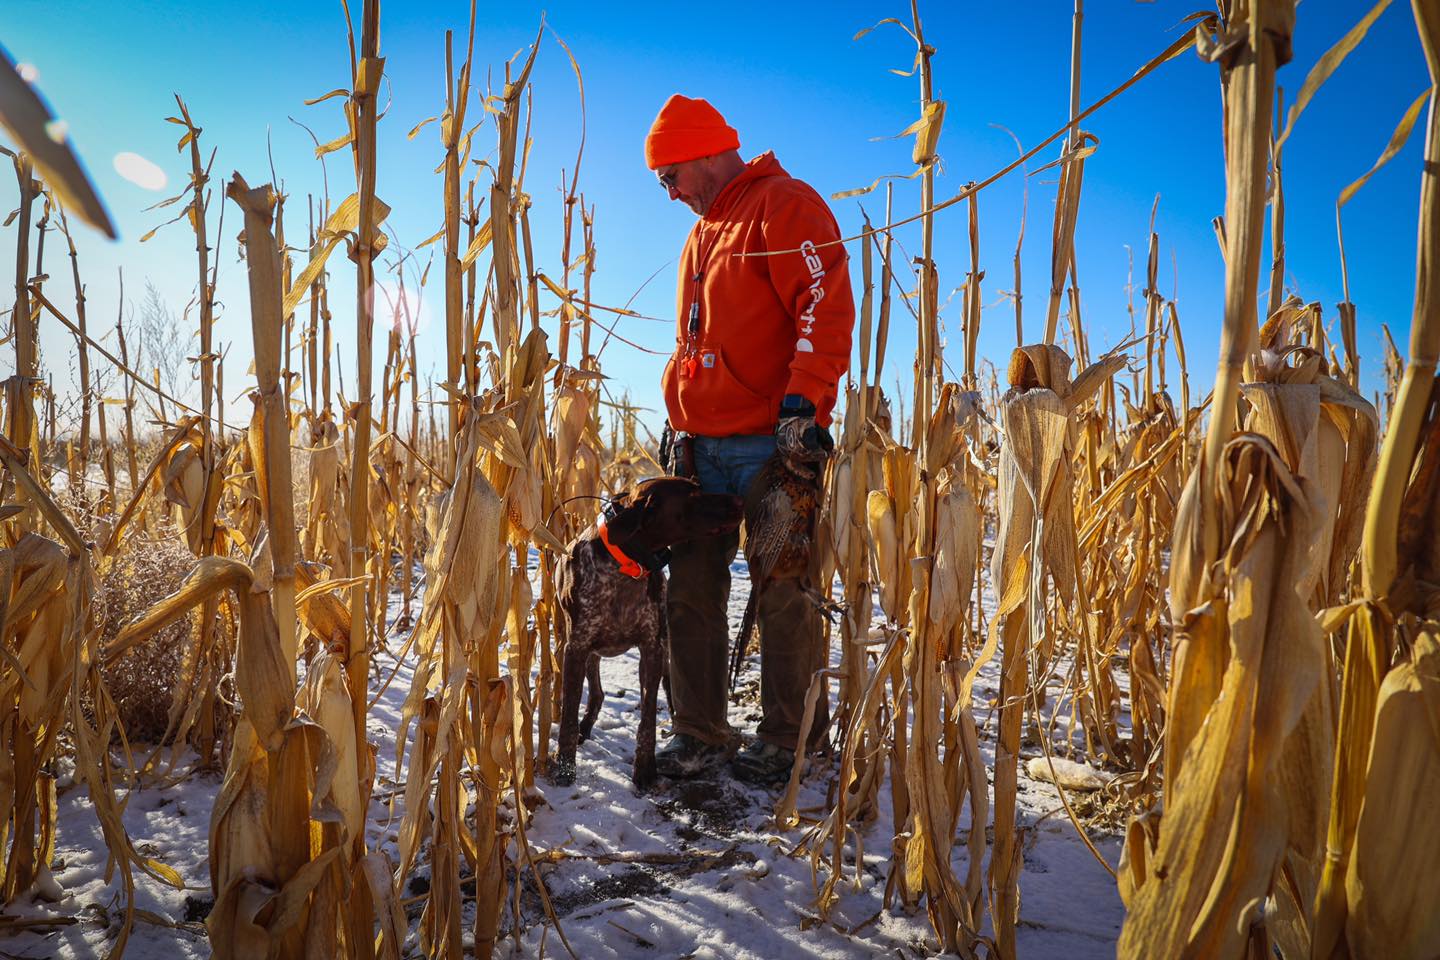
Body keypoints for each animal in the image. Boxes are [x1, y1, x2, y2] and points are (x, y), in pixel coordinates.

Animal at [544, 477, 737, 788]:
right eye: (693, 495)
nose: (739, 502)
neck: (626, 565)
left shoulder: (652, 649)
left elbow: (647, 719)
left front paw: (645, 770)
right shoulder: (576, 648)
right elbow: (568, 720)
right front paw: (565, 769)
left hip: (664, 648)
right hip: (583, 650)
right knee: (596, 693)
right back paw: (586, 727)